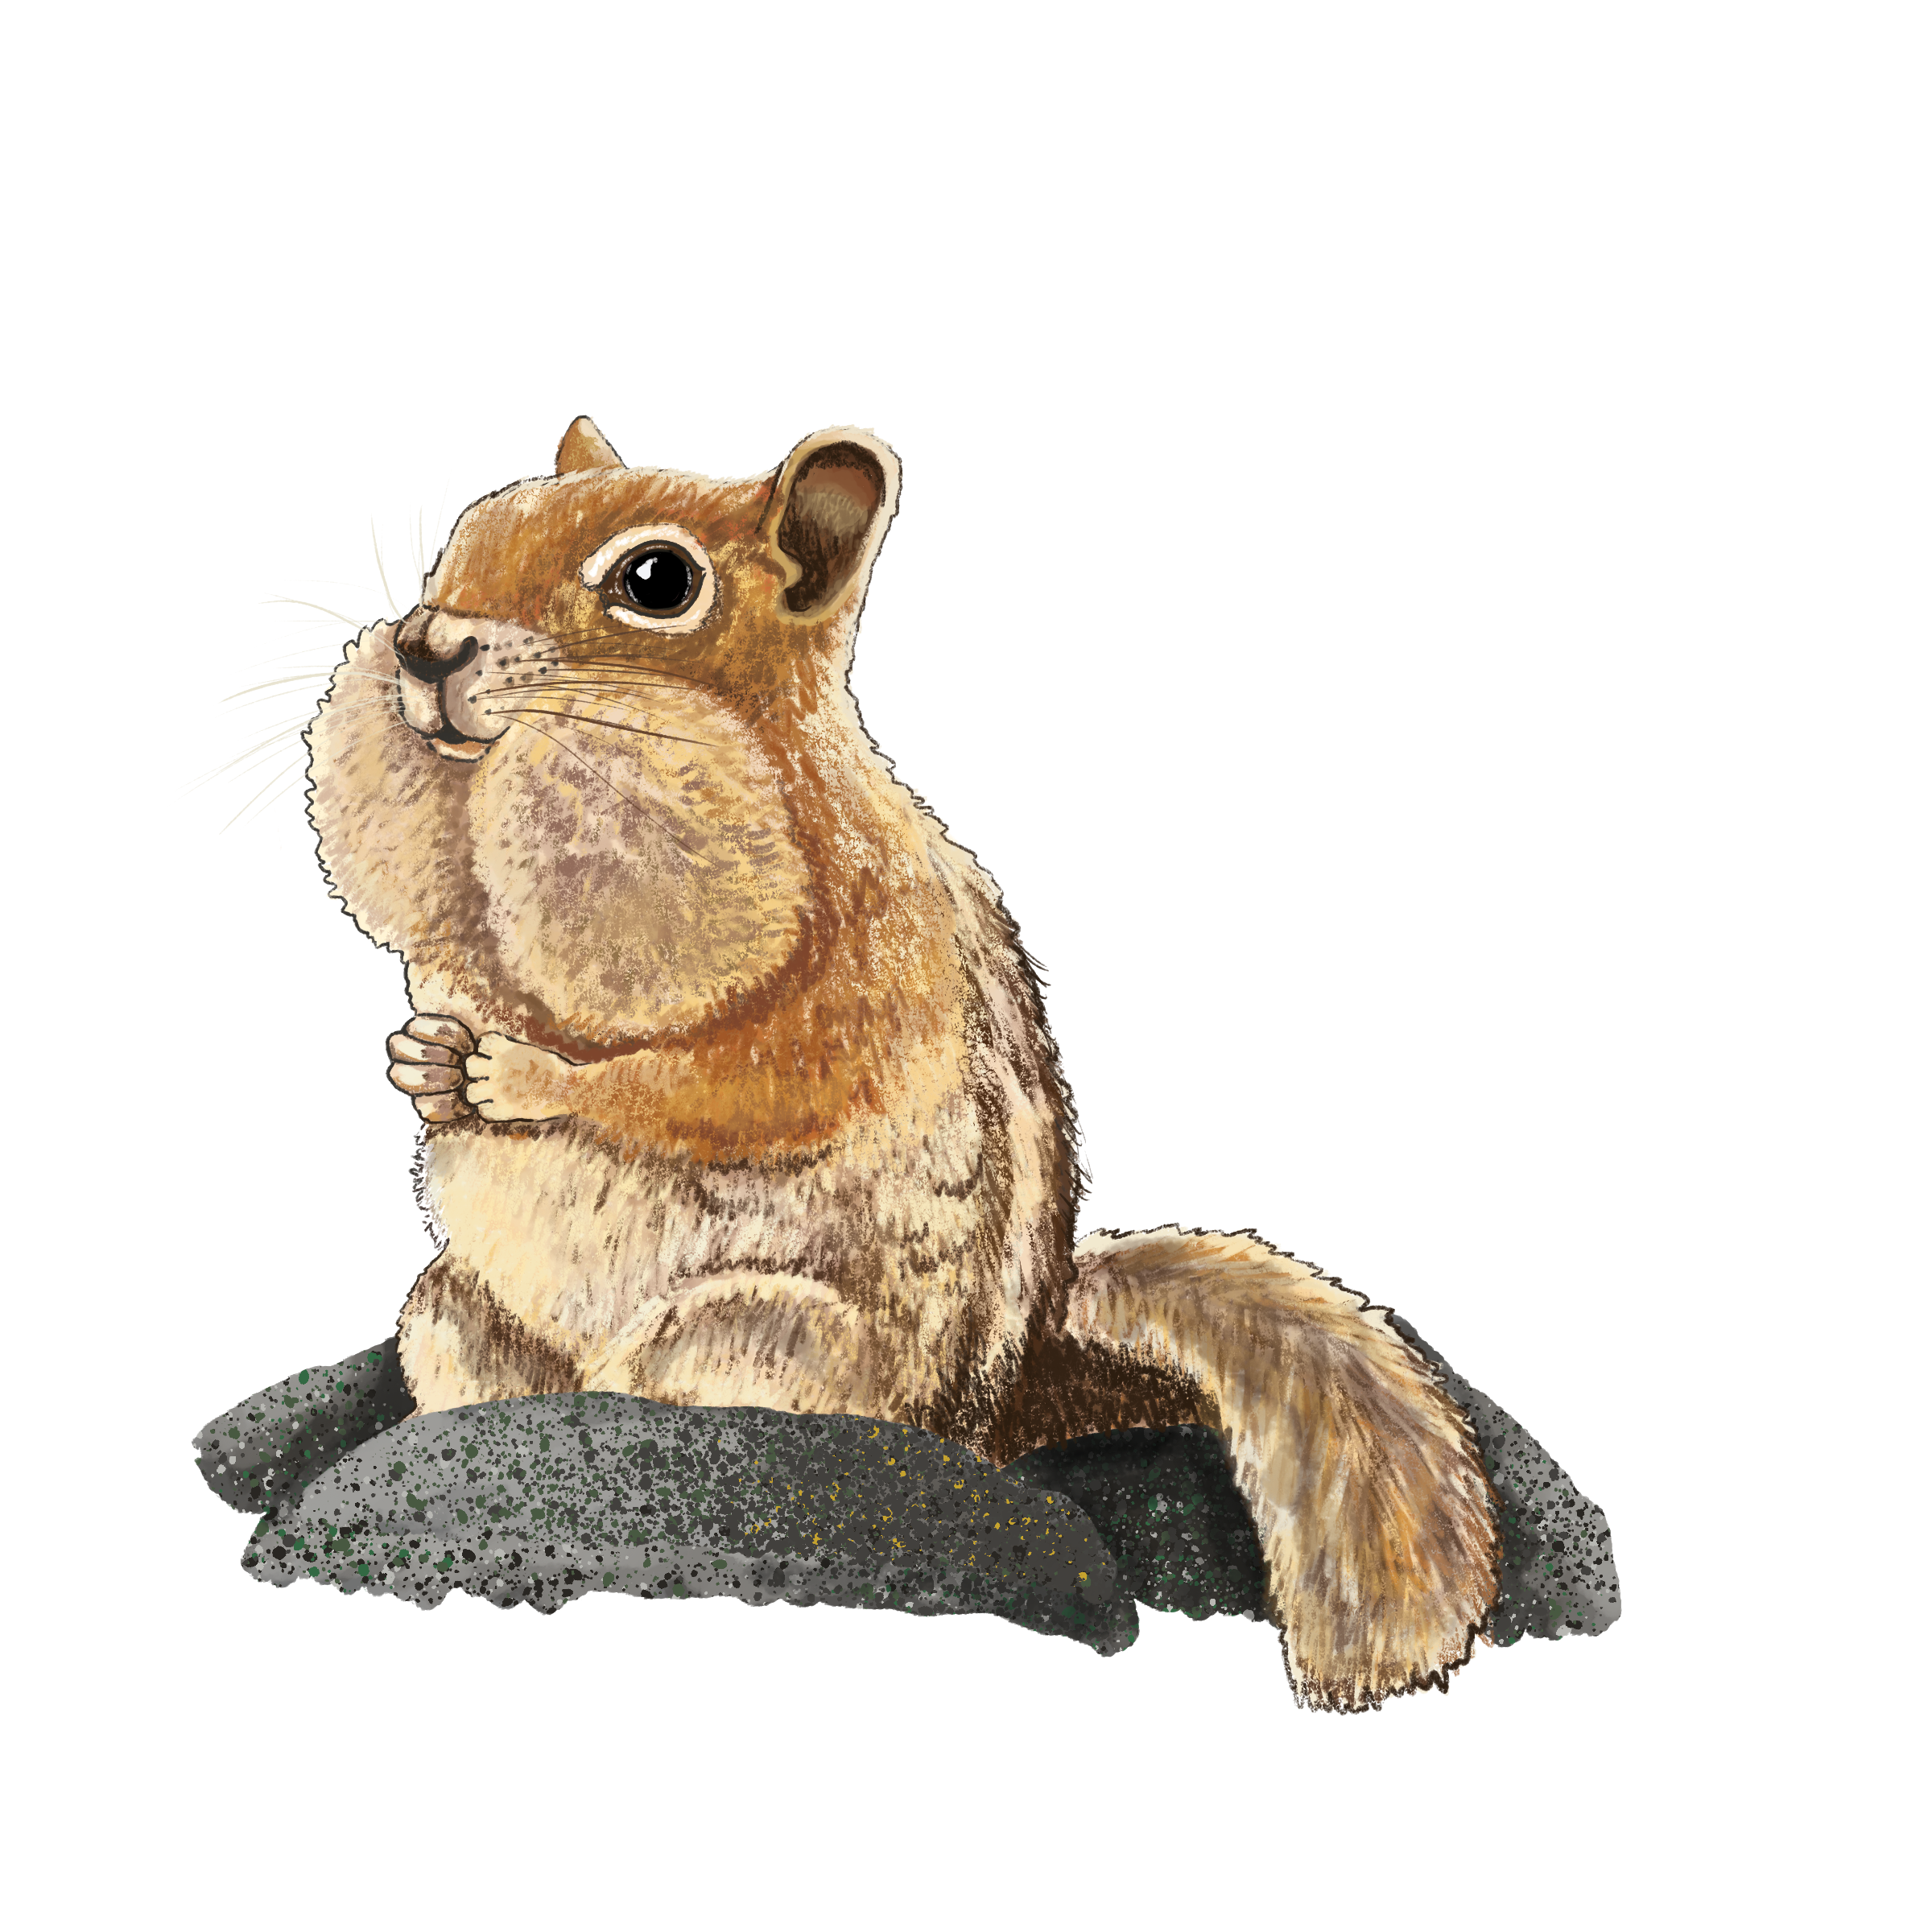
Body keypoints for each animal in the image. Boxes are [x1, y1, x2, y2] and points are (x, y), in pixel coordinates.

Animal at [304, 417, 1499, 1706]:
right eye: (472, 530)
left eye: (657, 581)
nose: (425, 645)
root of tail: (996, 1420)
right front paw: (427, 1060)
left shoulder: (854, 978)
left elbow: (726, 1085)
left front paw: (527, 1078)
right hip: (453, 1320)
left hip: (758, 1335)